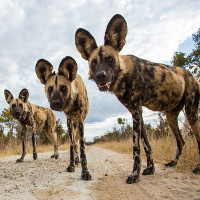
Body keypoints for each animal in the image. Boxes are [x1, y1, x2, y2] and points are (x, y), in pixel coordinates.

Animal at [75, 13, 200, 183]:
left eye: (110, 59)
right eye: (94, 62)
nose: (101, 76)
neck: (123, 74)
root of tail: (192, 76)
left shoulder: (135, 112)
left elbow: (136, 148)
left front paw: (135, 174)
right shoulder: (138, 113)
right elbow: (147, 146)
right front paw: (150, 169)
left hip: (192, 113)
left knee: (197, 139)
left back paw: (197, 168)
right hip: (171, 117)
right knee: (181, 141)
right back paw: (173, 162)